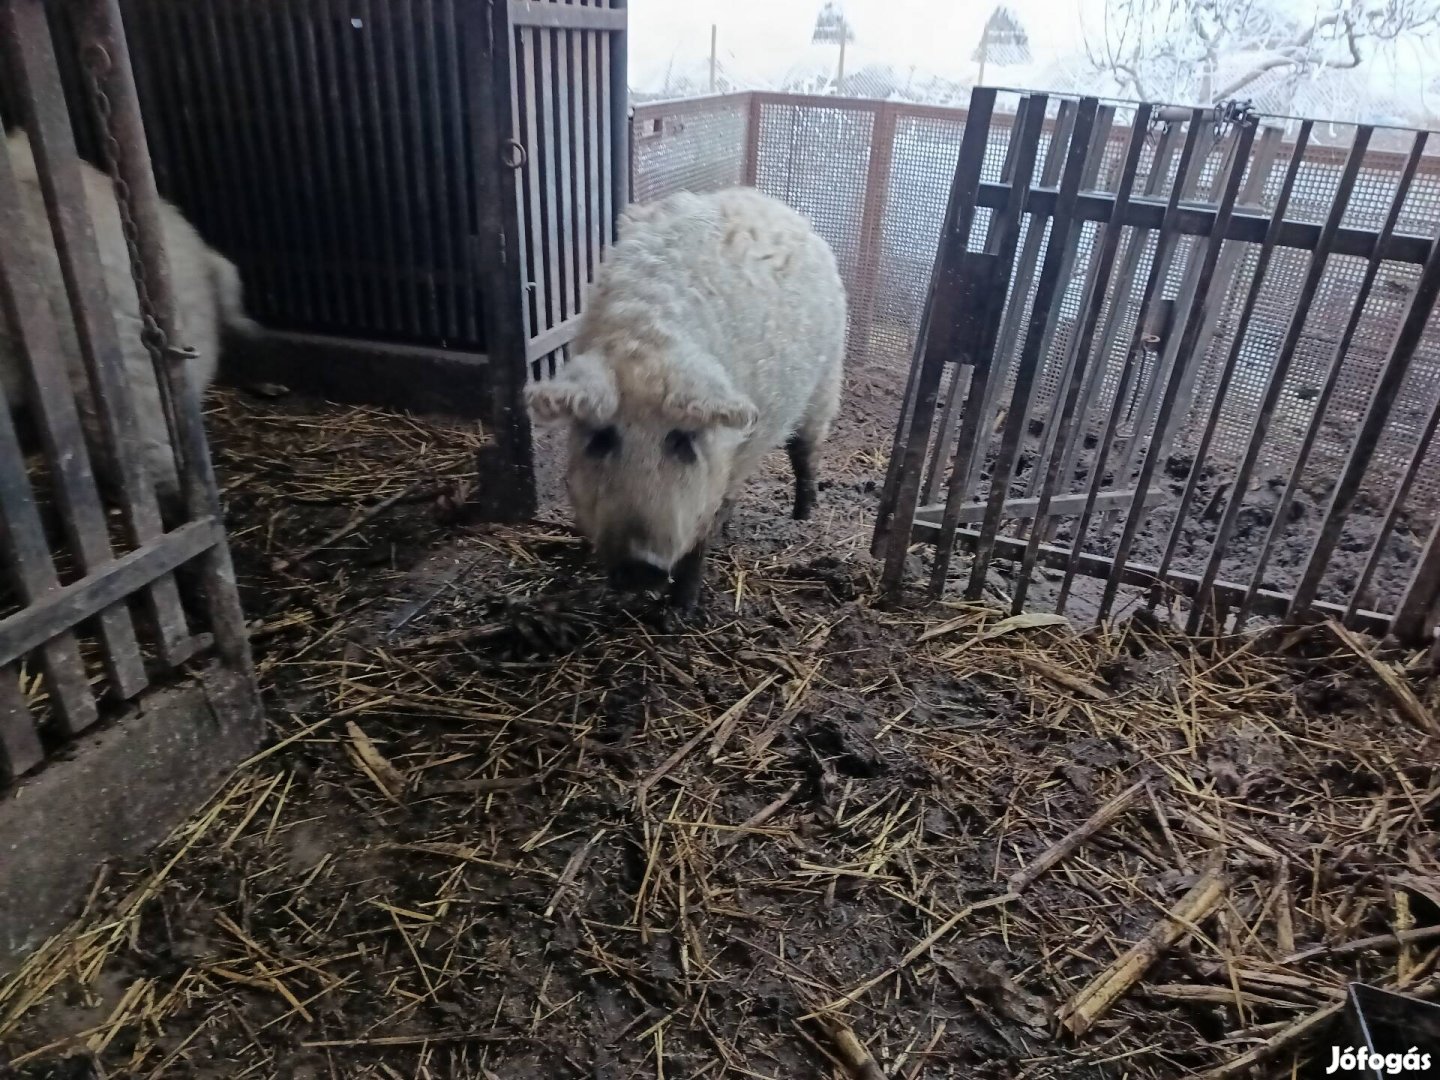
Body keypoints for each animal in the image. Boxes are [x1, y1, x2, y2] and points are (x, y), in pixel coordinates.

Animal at [527, 185, 840, 610]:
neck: (645, 344)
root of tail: (775, 203)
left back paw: (803, 515)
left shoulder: (722, 465)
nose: (640, 568)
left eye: (682, 440)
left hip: (825, 384)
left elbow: (700, 539)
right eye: (602, 438)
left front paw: (683, 608)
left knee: (805, 450)